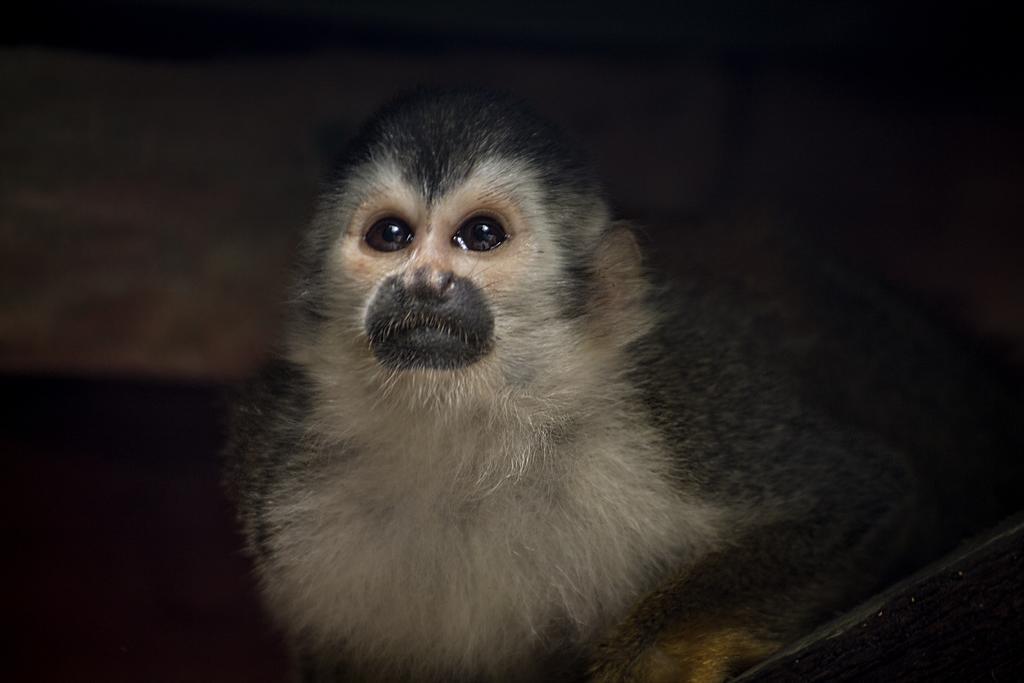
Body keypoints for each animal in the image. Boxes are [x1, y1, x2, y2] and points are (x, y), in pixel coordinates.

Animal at [226, 88, 1024, 679]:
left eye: (480, 236)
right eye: (390, 236)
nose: (424, 285)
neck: (473, 436)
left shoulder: (680, 403)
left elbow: (856, 495)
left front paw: (654, 656)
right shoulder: (278, 493)